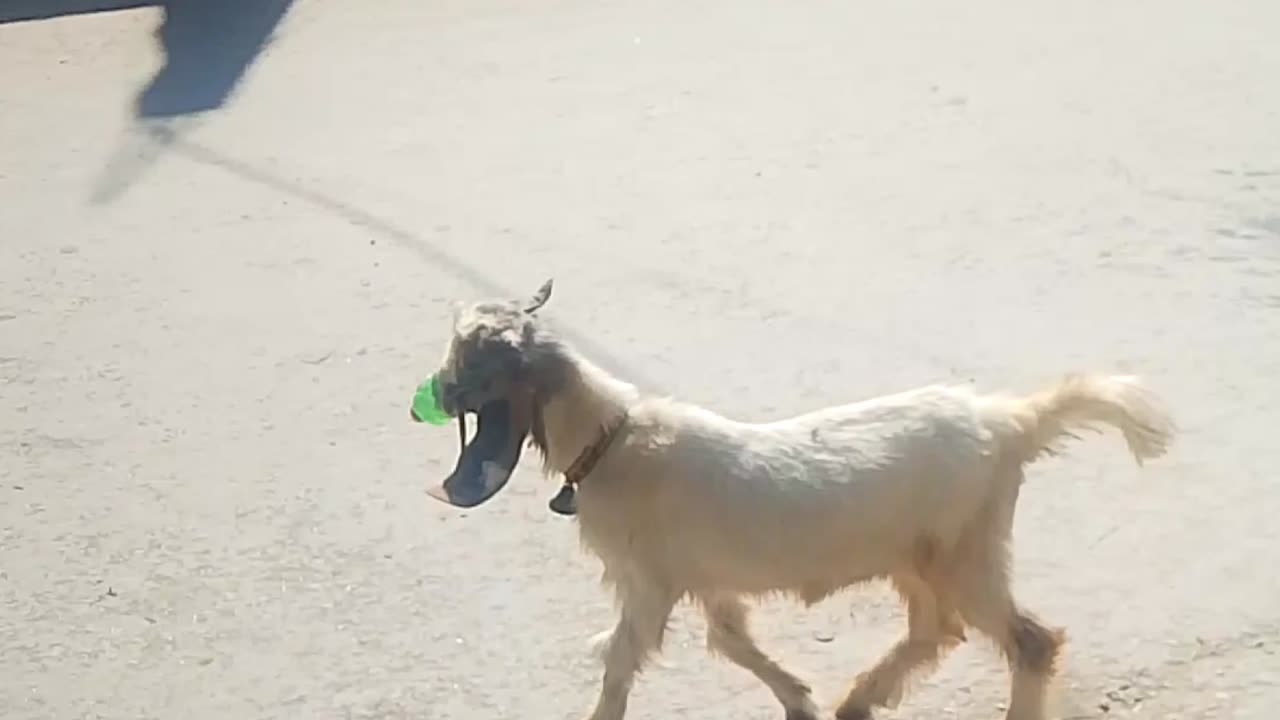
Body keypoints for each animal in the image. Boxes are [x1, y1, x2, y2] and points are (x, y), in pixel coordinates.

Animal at [417, 279, 1175, 720]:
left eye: (468, 361)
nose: (437, 395)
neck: (614, 437)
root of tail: (1008, 422)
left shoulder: (650, 582)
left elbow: (623, 660)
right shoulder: (703, 580)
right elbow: (730, 641)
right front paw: (800, 700)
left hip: (968, 550)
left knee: (1029, 641)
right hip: (919, 556)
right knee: (938, 629)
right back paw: (859, 699)